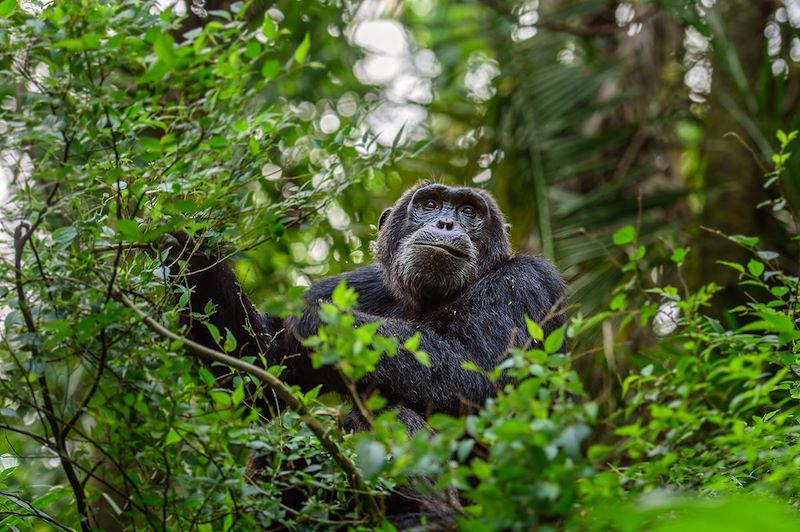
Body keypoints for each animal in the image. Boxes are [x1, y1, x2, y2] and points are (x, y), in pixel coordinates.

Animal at [172, 183, 564, 524]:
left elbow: (476, 378)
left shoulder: (525, 283)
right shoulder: (359, 284)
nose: (446, 223)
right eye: (430, 204)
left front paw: (317, 322)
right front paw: (192, 253)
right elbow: (262, 376)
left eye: (469, 211)